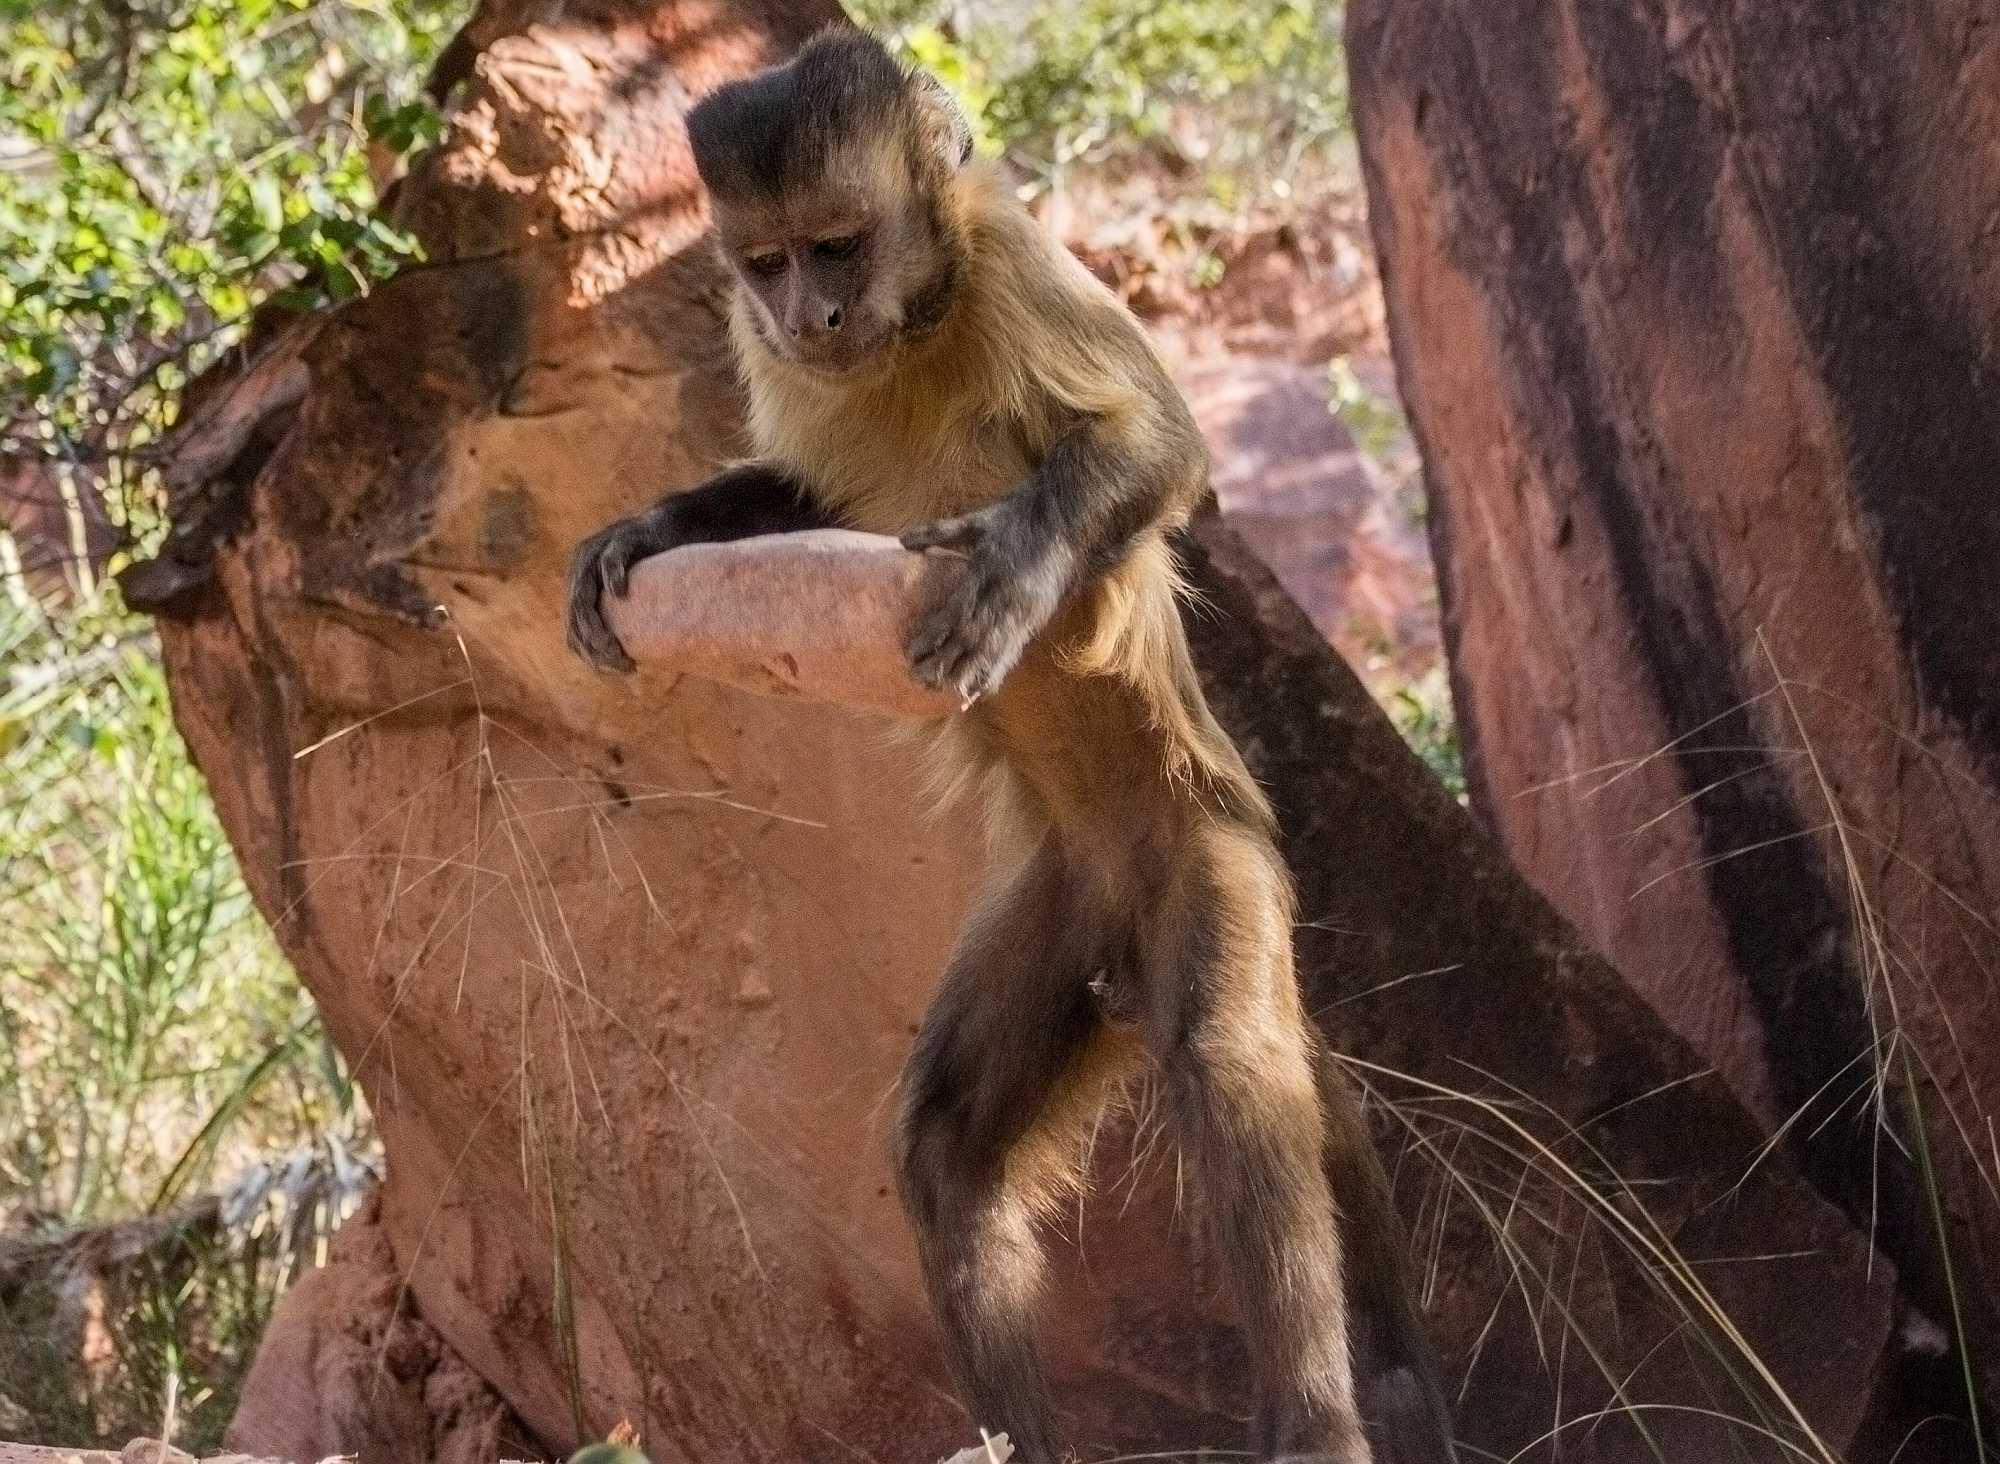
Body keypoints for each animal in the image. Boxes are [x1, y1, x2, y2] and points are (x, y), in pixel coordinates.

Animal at [564, 28, 1456, 1464]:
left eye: (839, 246)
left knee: (1229, 1067)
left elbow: (1159, 445)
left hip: (1205, 851)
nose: (811, 320)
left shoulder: (1012, 258)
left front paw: (1020, 561)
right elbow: (799, 490)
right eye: (769, 263)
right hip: (1066, 905)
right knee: (945, 1150)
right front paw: (651, 530)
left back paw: (1318, 1421)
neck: (917, 323)